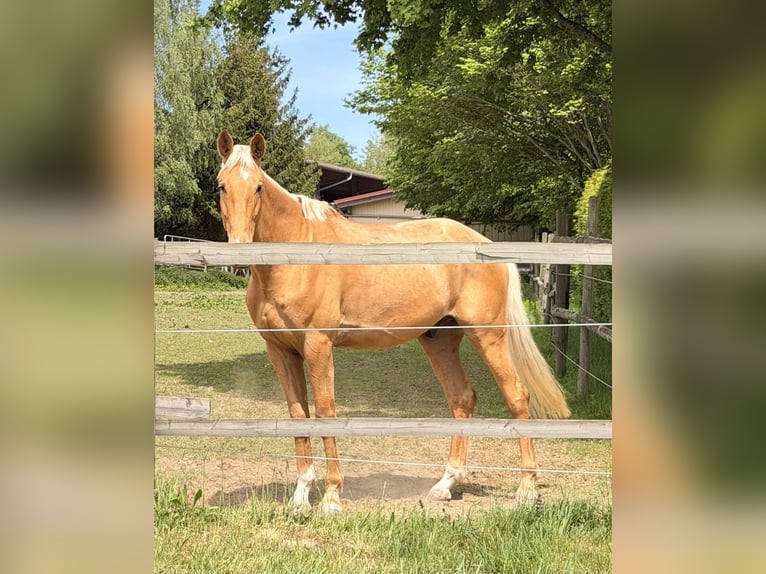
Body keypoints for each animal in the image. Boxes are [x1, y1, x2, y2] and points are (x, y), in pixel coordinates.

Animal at [215, 130, 570, 514]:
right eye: (221, 185)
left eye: (258, 187)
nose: (237, 252)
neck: (296, 254)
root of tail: (484, 245)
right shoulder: (280, 350)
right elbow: (298, 416)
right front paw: (300, 497)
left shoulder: (318, 345)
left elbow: (325, 411)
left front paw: (332, 498)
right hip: (440, 339)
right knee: (462, 398)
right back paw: (445, 485)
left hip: (487, 334)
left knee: (517, 395)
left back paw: (526, 490)